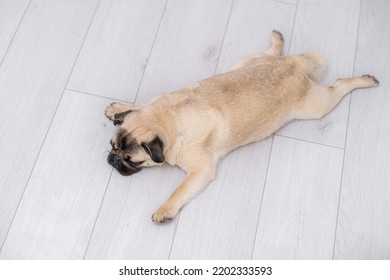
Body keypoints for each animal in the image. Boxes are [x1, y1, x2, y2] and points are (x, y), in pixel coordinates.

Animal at [104, 30, 378, 223]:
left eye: (132, 160)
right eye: (111, 145)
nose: (112, 159)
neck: (165, 118)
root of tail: (294, 64)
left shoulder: (200, 170)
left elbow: (178, 191)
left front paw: (165, 209)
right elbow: (138, 107)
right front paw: (119, 109)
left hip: (316, 107)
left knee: (339, 86)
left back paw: (364, 81)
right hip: (245, 62)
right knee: (274, 53)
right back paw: (277, 39)